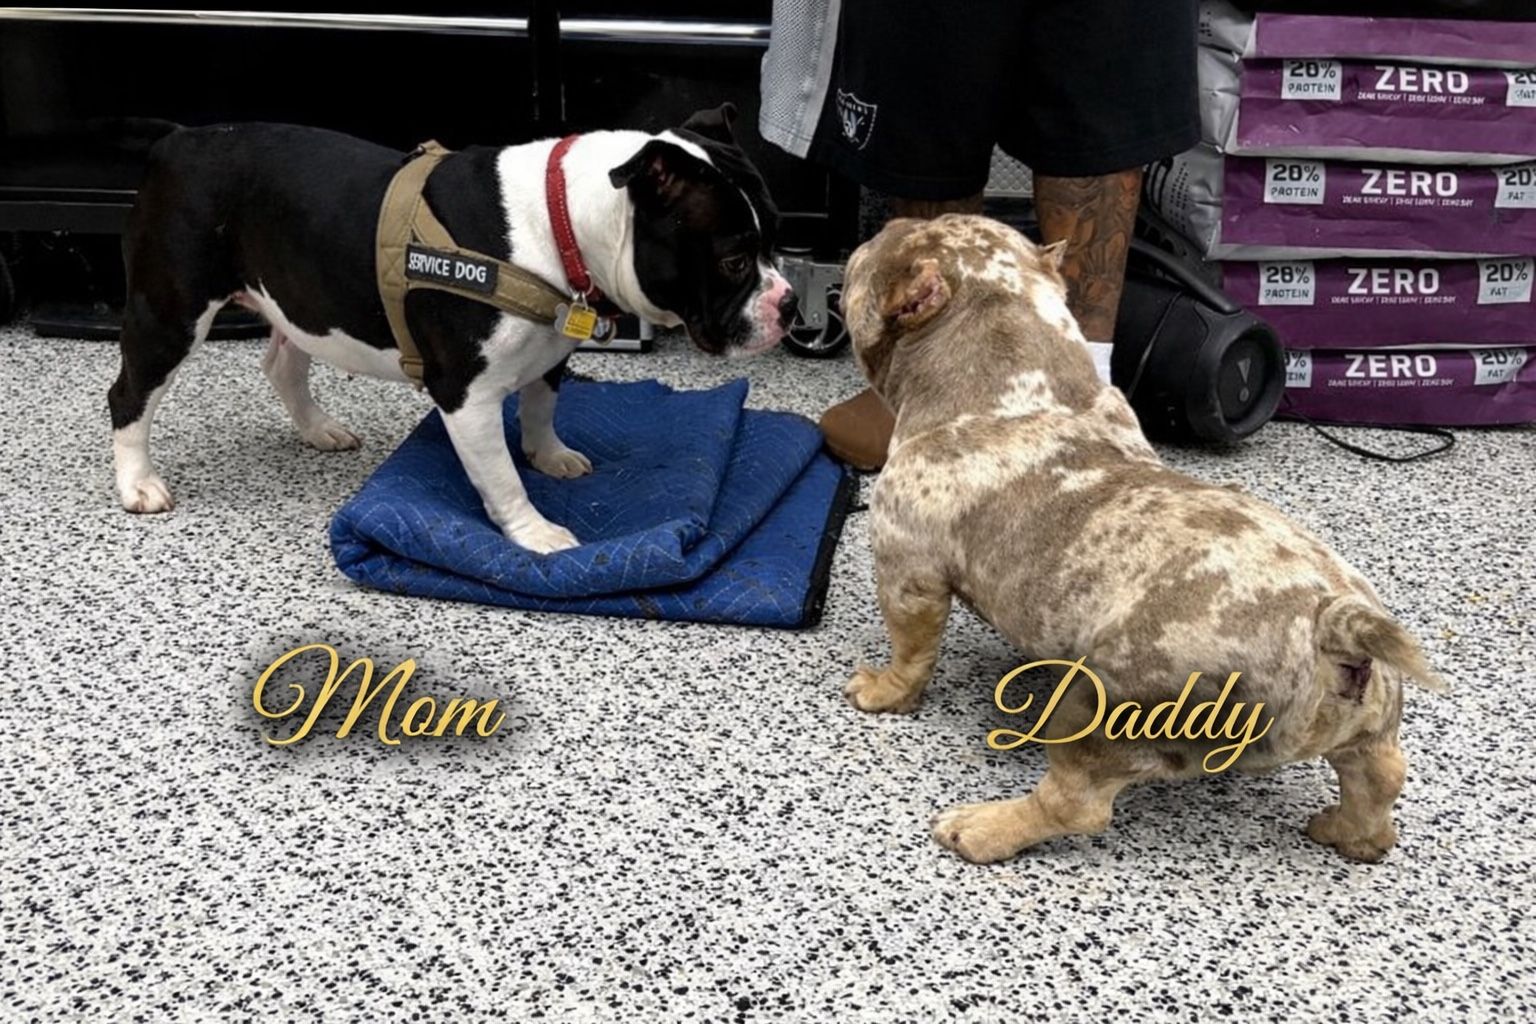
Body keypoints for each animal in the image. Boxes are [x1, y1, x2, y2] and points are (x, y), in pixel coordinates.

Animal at [108, 106, 793, 553]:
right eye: (734, 261)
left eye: (777, 241)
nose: (786, 304)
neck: (561, 225)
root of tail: (180, 139)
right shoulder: (467, 396)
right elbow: (502, 477)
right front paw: (534, 531)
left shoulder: (551, 353)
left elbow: (541, 408)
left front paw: (550, 455)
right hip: (171, 312)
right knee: (129, 394)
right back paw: (138, 483)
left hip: (298, 296)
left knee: (283, 364)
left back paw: (319, 429)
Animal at [840, 214, 1446, 864]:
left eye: (871, 250)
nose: (881, 225)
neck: (1018, 374)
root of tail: (1331, 622)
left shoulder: (907, 573)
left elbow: (911, 651)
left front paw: (884, 691)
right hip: (1371, 723)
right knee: (1379, 772)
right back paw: (1354, 834)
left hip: (1107, 706)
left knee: (1076, 803)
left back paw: (984, 827)